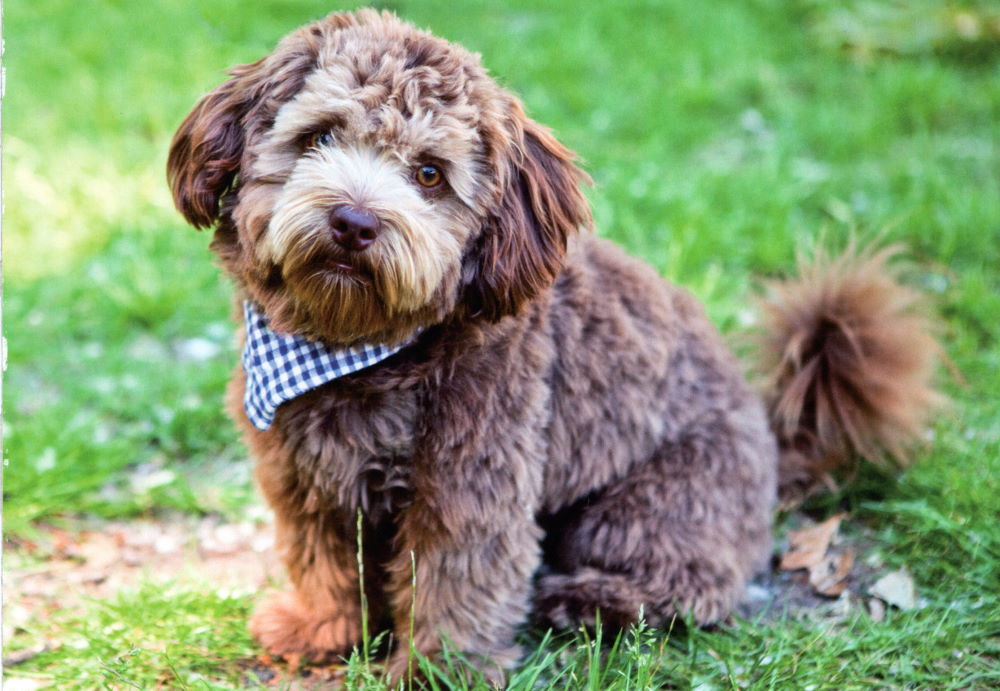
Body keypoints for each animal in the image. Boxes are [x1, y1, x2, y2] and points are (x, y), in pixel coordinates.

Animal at [164, 9, 936, 680]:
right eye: (320, 137)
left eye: (429, 173)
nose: (354, 222)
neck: (355, 347)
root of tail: (779, 450)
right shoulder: (303, 472)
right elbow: (323, 558)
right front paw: (319, 629)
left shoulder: (475, 482)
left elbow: (457, 580)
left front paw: (439, 672)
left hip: (652, 505)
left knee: (697, 585)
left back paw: (588, 602)